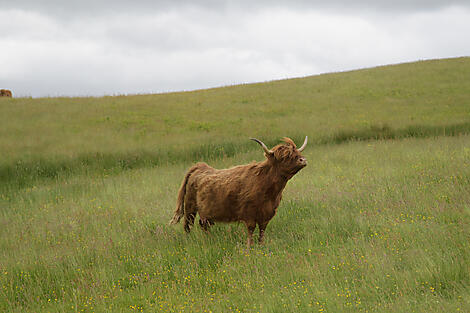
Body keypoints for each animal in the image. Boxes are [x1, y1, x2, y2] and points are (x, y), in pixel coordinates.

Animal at [169, 136, 308, 246]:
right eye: (284, 157)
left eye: (296, 152)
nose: (303, 160)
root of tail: (199, 166)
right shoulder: (249, 213)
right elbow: (251, 230)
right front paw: (249, 247)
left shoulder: (267, 214)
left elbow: (262, 231)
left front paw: (261, 245)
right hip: (190, 207)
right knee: (188, 225)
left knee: (203, 225)